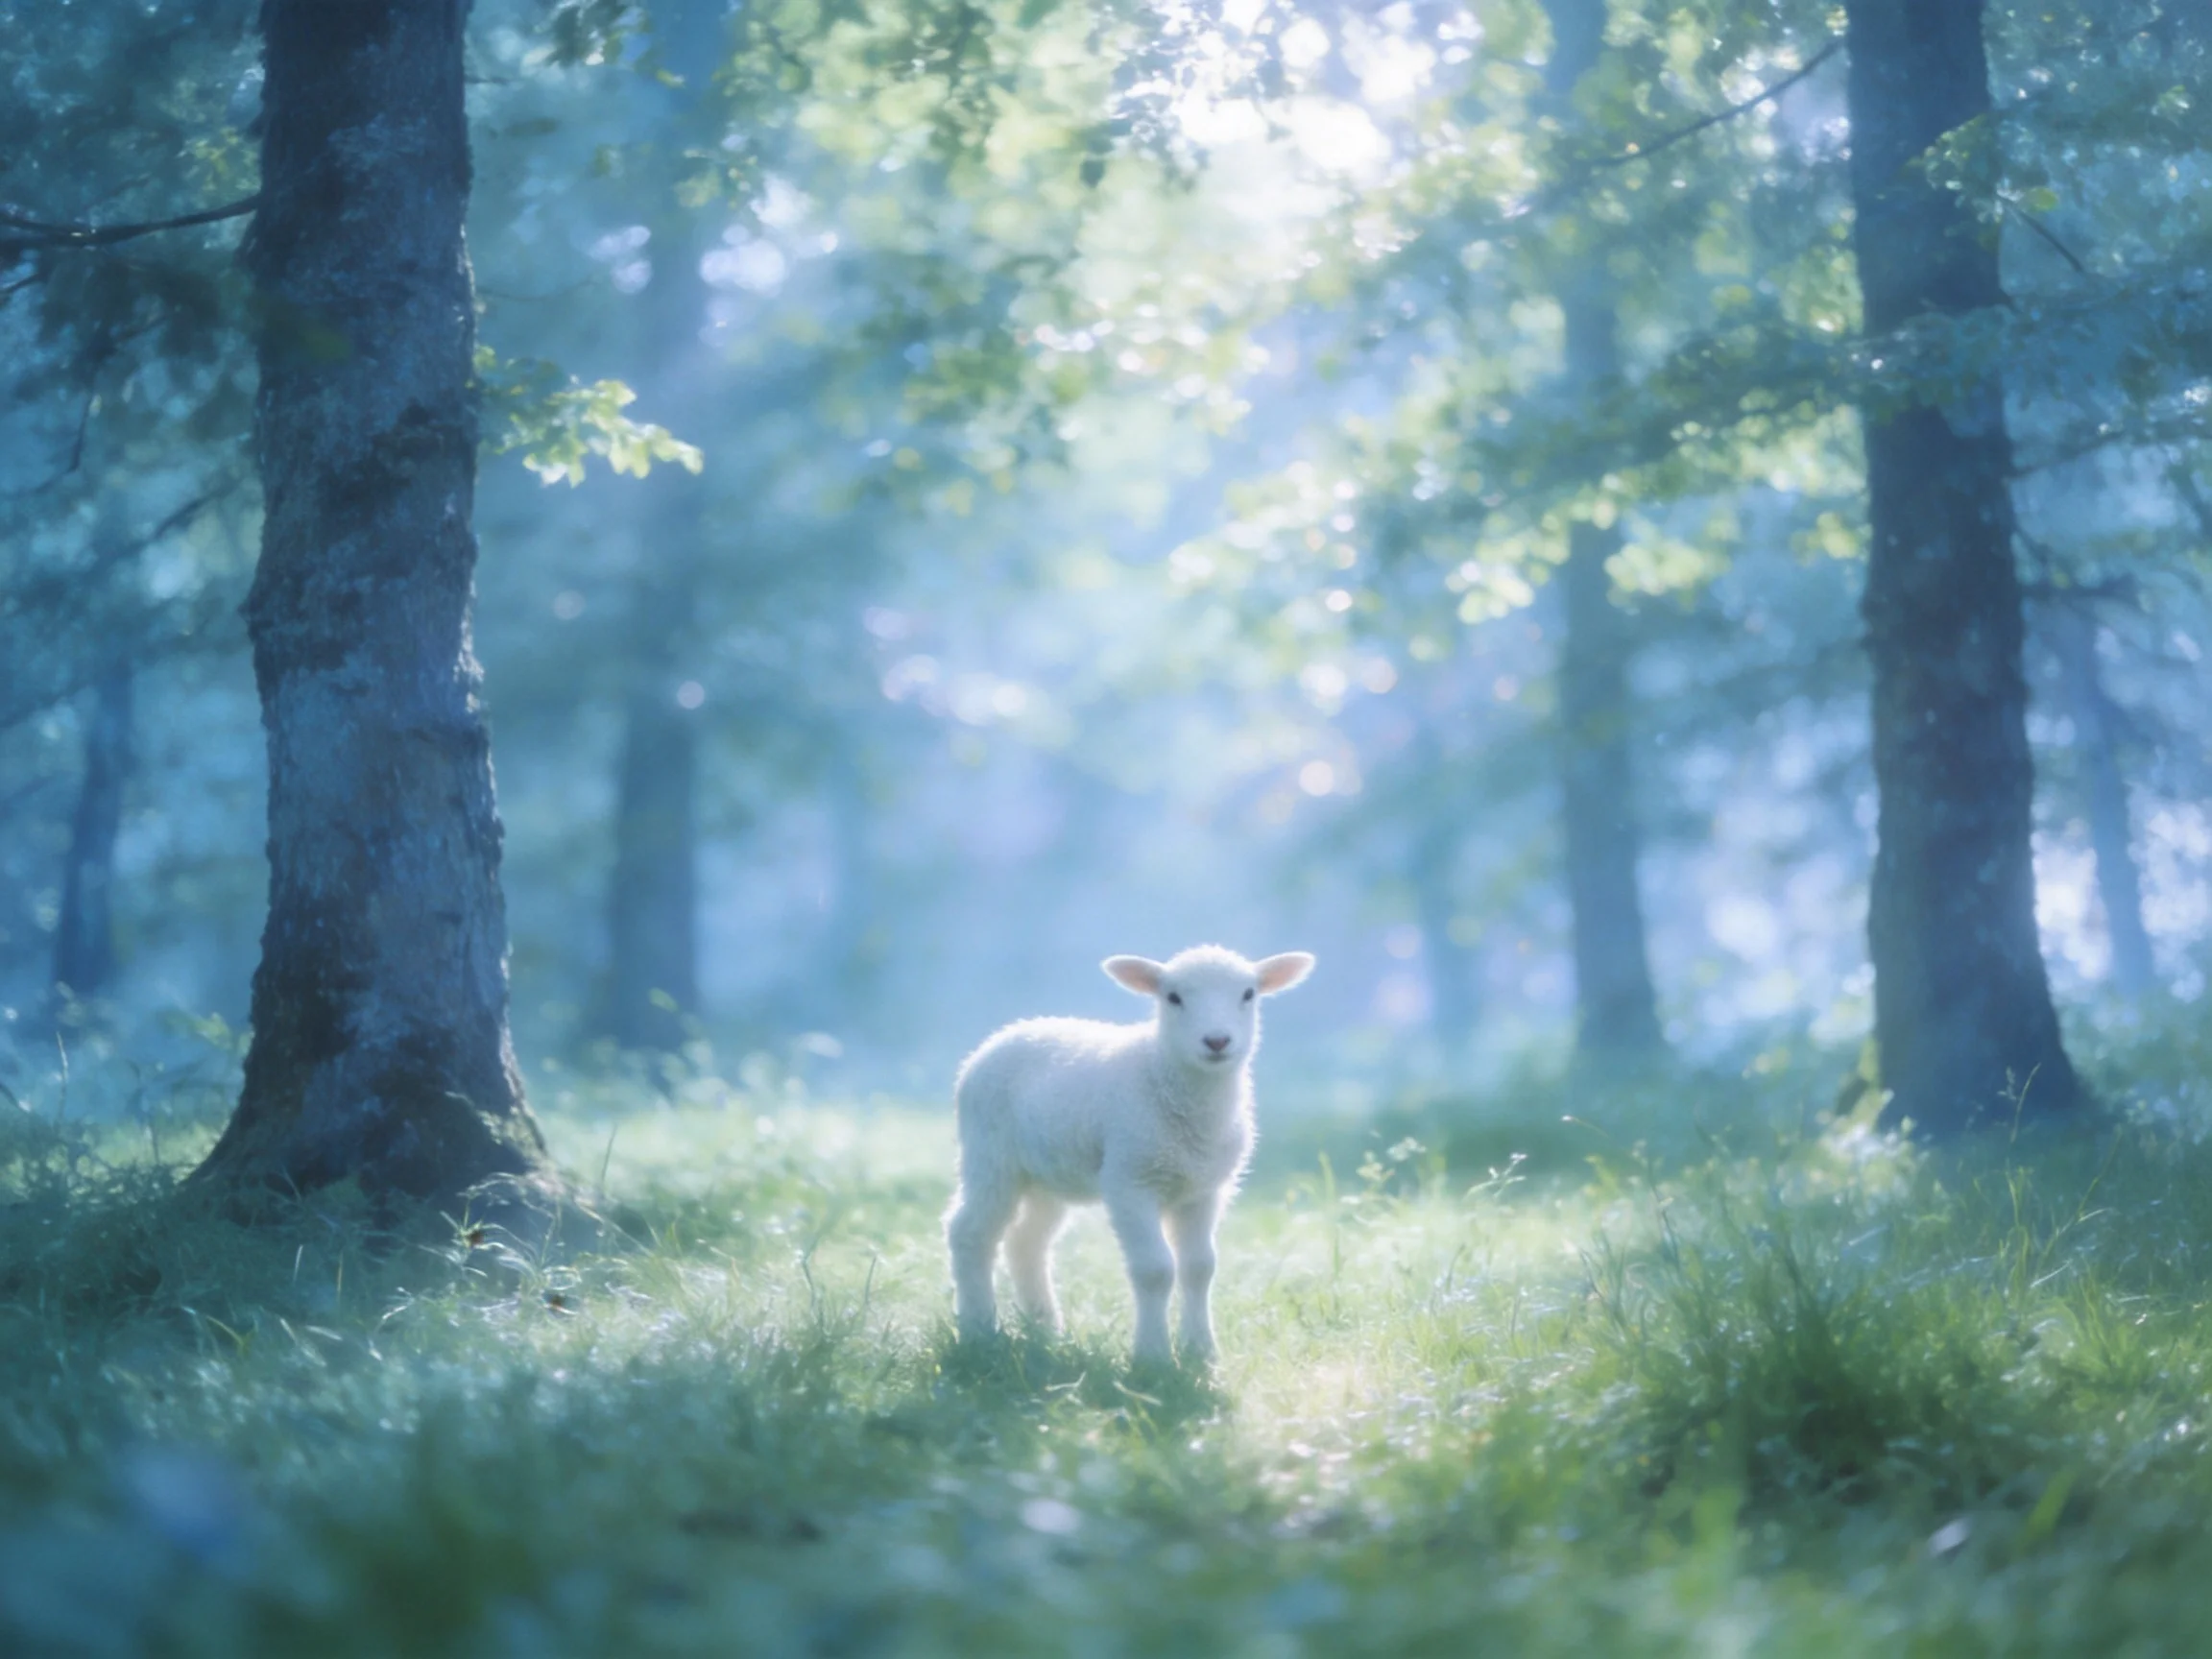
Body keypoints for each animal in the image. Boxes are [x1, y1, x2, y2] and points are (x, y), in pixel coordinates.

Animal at [945, 945, 1316, 1367]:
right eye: (1173, 997)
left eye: (1249, 994)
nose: (1217, 1041)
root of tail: (1005, 1034)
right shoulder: (1129, 1181)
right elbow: (1155, 1270)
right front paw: (1153, 1357)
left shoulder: (1204, 1189)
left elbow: (1199, 1268)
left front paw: (1201, 1353)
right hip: (989, 1156)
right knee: (970, 1232)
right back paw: (978, 1330)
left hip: (1046, 1175)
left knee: (1026, 1240)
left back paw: (1045, 1331)